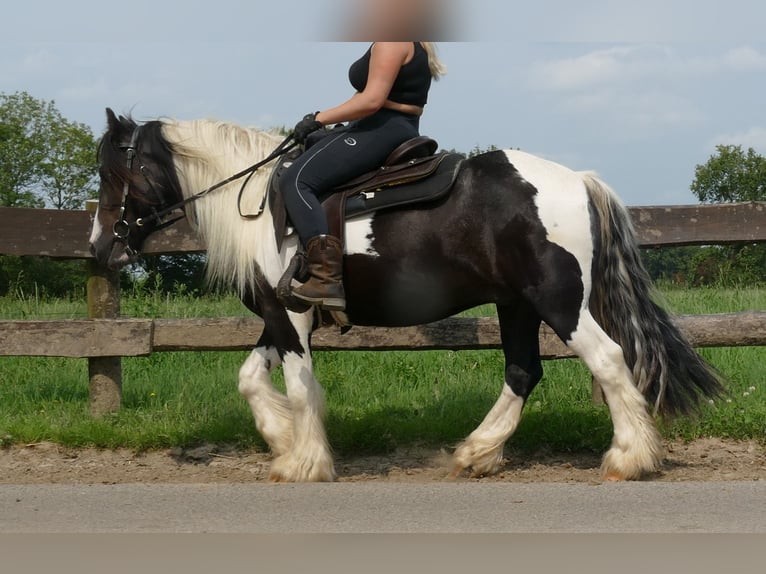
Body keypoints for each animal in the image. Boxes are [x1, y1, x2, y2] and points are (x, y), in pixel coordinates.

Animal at [91, 107, 728, 482]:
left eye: (110, 172)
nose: (100, 246)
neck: (260, 210)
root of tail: (577, 180)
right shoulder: (282, 317)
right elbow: (250, 378)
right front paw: (281, 440)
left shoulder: (290, 313)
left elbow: (298, 386)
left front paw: (304, 459)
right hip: (517, 304)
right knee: (523, 371)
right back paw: (476, 452)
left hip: (558, 301)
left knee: (610, 361)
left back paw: (629, 458)